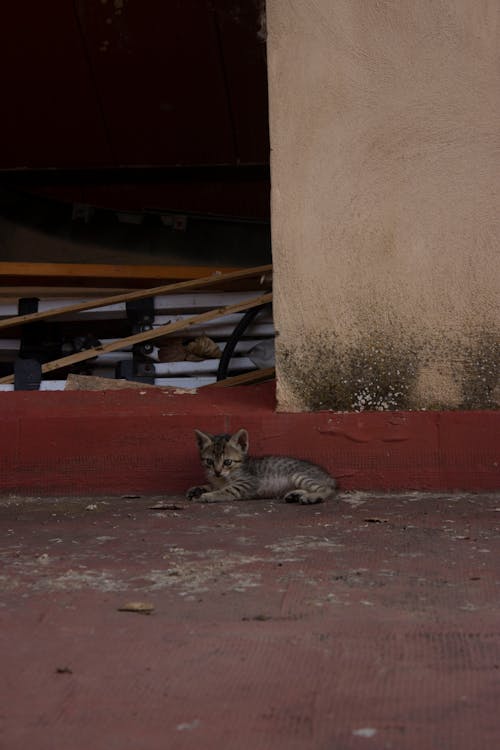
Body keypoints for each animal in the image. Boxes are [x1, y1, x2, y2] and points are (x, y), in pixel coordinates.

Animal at [187, 428, 336, 506]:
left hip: (298, 475)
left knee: (328, 490)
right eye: (209, 461)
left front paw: (207, 495)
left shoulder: (248, 482)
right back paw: (295, 495)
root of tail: (330, 477)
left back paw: (312, 497)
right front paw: (198, 489)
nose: (217, 472)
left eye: (227, 462)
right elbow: (213, 485)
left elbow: (227, 490)